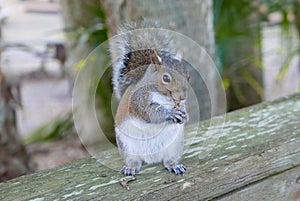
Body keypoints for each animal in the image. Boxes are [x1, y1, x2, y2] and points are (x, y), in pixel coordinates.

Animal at [109, 22, 190, 176]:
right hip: (127, 148)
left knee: (168, 160)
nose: (183, 97)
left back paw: (174, 165)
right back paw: (130, 168)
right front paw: (171, 114)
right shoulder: (138, 99)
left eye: (188, 76)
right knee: (134, 161)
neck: (164, 97)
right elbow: (149, 113)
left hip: (174, 146)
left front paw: (184, 115)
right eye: (166, 78)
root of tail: (152, 158)